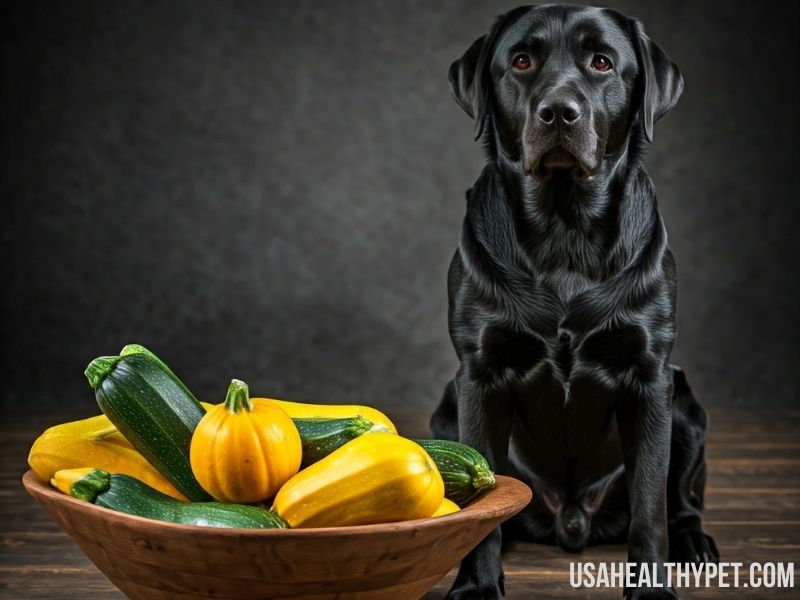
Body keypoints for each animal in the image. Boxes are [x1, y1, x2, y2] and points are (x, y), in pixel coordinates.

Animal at [434, 5, 720, 600]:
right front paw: (477, 585)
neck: (564, 229)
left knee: (680, 500)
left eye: (602, 62)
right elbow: (483, 498)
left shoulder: (649, 377)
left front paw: (651, 587)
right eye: (521, 60)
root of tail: (572, 519)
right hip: (446, 407)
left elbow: (650, 507)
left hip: (685, 402)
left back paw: (693, 540)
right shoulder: (478, 375)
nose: (559, 112)